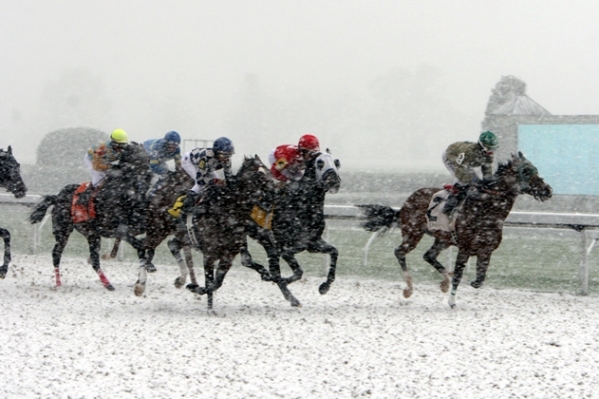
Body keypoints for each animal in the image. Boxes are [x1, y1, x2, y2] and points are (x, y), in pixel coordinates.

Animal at [29, 144, 154, 290]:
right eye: (137, 159)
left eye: (148, 158)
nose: (150, 175)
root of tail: (57, 197)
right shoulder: (116, 230)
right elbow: (139, 245)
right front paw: (146, 272)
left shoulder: (137, 225)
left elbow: (145, 242)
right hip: (63, 230)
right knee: (56, 253)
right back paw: (59, 283)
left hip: (91, 234)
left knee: (94, 260)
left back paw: (108, 284)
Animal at [240, 152, 342, 308]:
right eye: (320, 163)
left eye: (336, 162)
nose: (334, 181)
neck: (302, 207)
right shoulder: (285, 249)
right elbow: (297, 272)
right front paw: (282, 283)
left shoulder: (312, 244)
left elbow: (334, 252)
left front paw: (324, 287)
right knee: (251, 261)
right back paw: (289, 295)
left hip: (267, 242)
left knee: (251, 261)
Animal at [358, 153, 556, 310]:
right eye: (526, 171)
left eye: (535, 169)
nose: (547, 190)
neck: (486, 210)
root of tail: (406, 202)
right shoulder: (465, 248)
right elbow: (459, 276)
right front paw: (452, 301)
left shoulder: (486, 251)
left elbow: (480, 280)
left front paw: (464, 283)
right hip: (413, 233)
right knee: (400, 252)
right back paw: (409, 288)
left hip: (442, 239)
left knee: (428, 255)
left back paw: (444, 282)